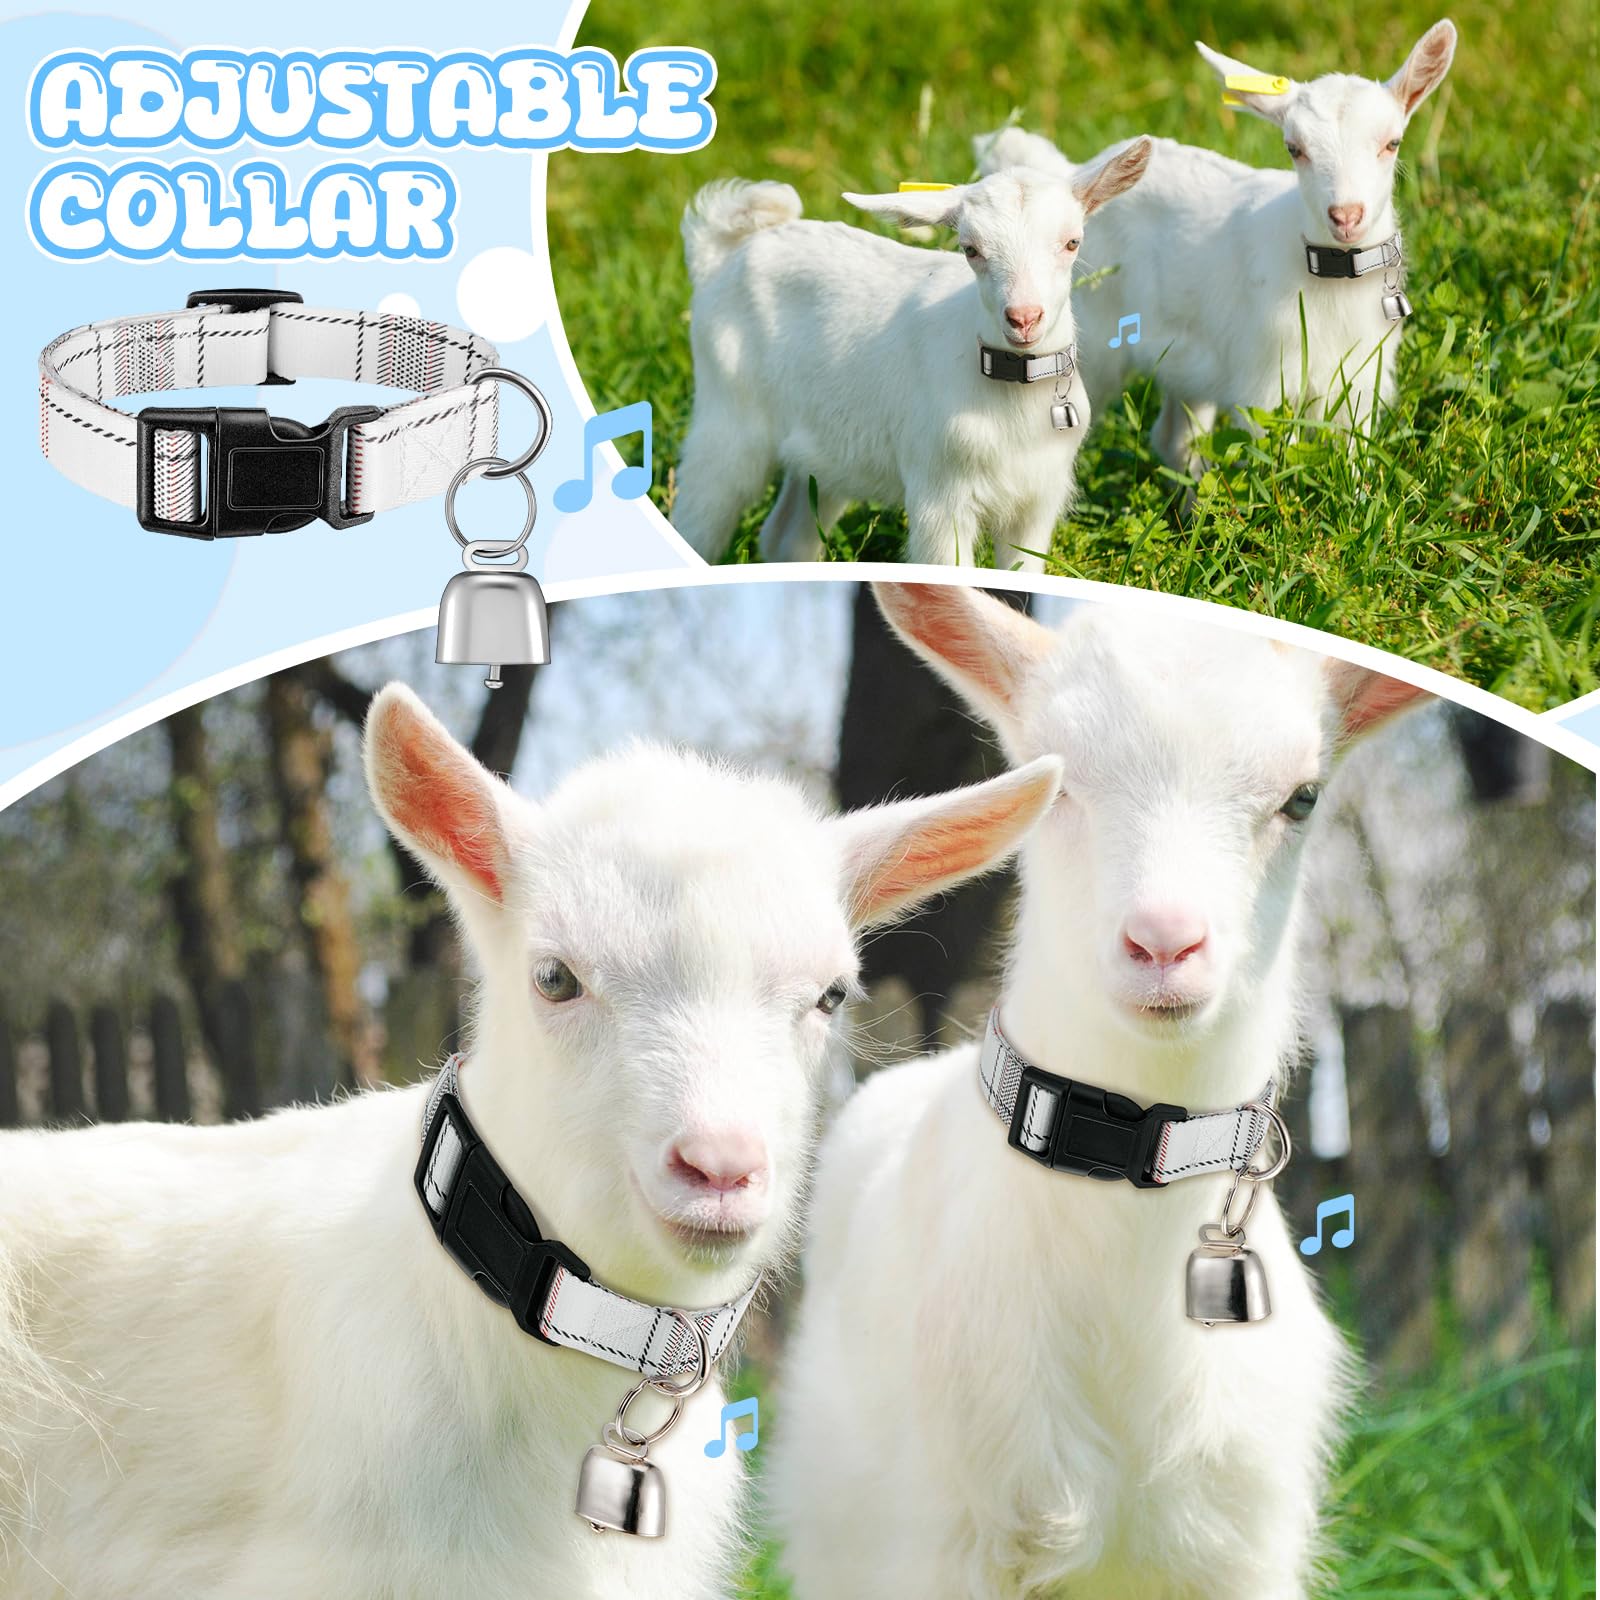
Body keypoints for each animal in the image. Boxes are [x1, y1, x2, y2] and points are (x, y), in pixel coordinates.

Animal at [674, 143, 1153, 572]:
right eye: (970, 249)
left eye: (1072, 243)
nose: (1023, 318)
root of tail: (718, 258)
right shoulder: (940, 496)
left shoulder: (1037, 501)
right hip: (728, 418)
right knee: (698, 514)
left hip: (823, 452)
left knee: (785, 536)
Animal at [979, 22, 1457, 483]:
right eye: (1294, 149)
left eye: (1392, 143)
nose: (1345, 215)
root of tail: (1071, 177)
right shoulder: (1265, 384)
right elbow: (1274, 466)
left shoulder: (1359, 381)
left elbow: (1355, 459)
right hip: (1093, 345)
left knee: (1173, 439)